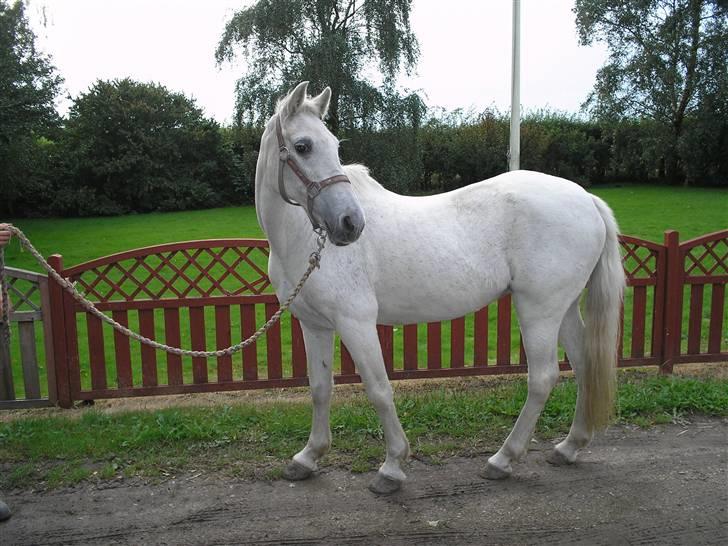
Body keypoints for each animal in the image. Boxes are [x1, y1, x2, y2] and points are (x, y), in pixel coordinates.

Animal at [255, 82, 625, 495]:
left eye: (333, 146)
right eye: (303, 146)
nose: (350, 223)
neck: (303, 239)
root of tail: (586, 199)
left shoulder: (356, 323)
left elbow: (379, 389)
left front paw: (392, 466)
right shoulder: (314, 324)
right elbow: (320, 388)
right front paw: (308, 457)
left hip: (539, 311)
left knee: (543, 378)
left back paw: (502, 459)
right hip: (563, 309)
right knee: (583, 364)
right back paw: (569, 446)